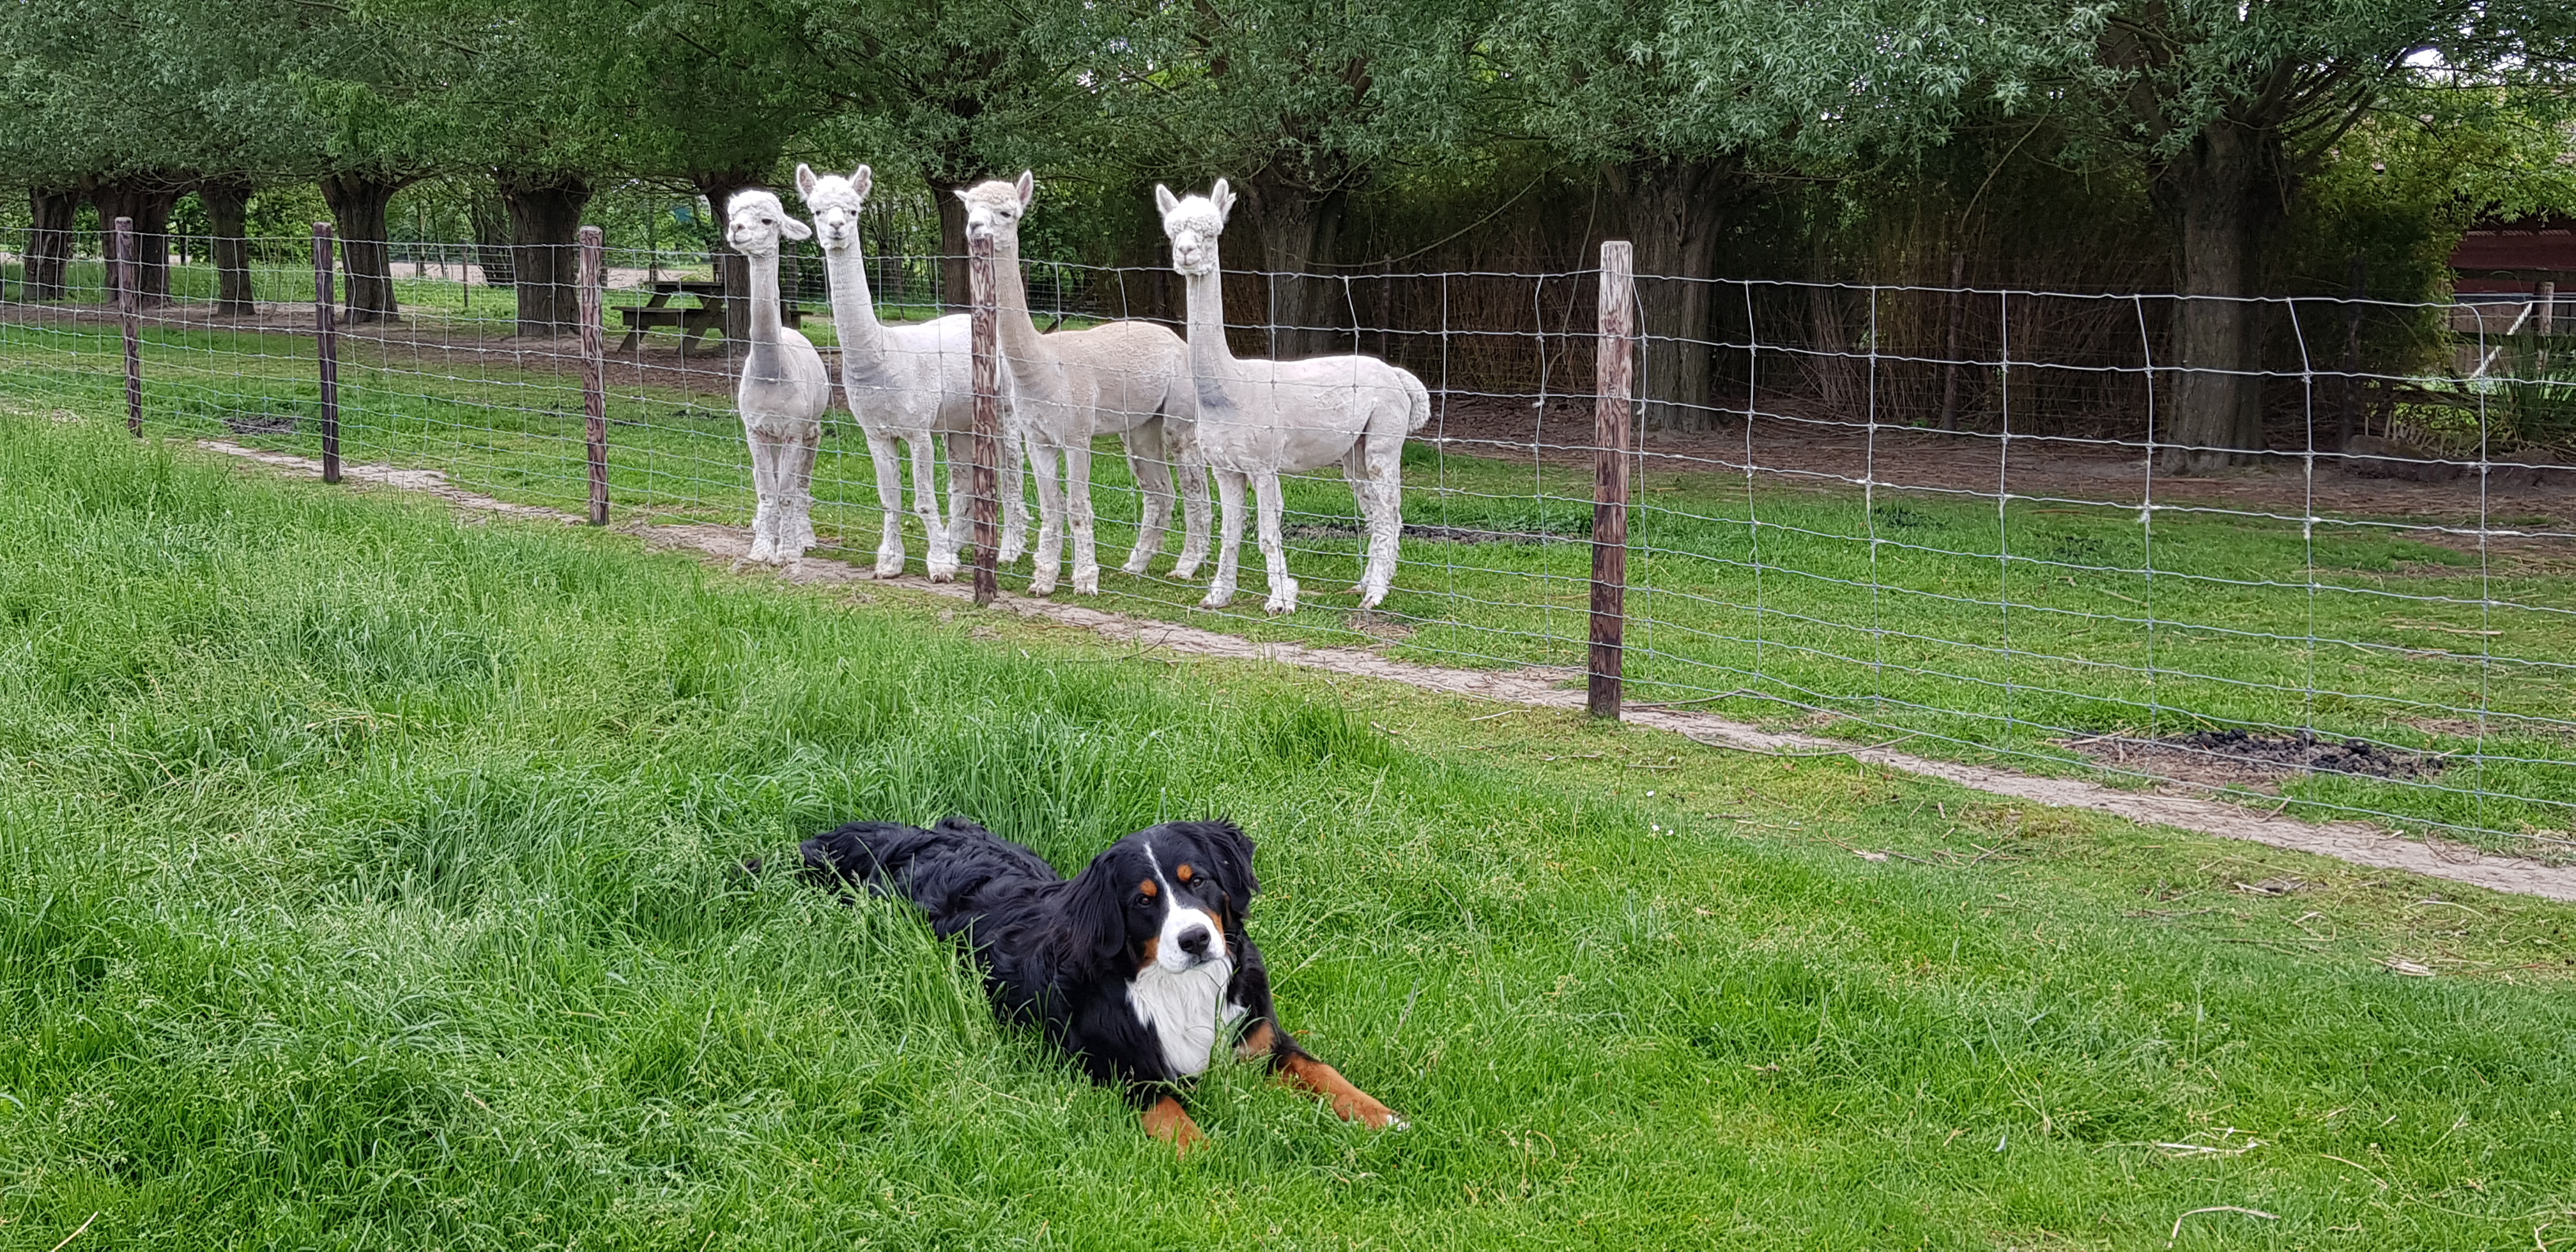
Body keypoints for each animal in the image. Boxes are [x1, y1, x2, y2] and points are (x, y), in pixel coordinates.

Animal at [803, 819, 1411, 1149]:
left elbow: (1324, 1072)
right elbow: (1169, 1111)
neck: (1177, 990)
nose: (1196, 940)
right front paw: (1206, 1156)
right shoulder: (1115, 1066)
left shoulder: (1260, 1038)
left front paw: (1384, 1116)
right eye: (1144, 900)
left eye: (1199, 881)